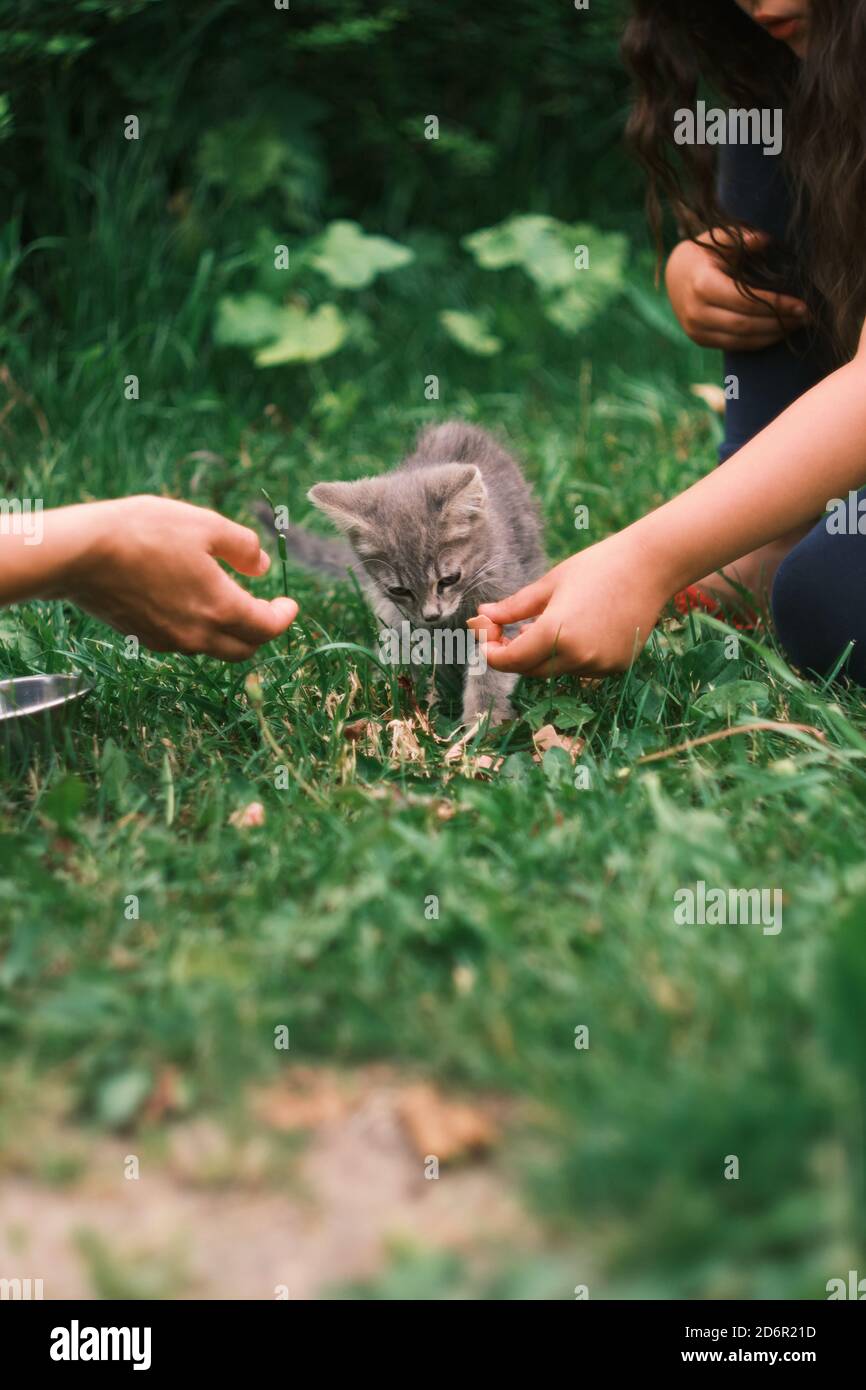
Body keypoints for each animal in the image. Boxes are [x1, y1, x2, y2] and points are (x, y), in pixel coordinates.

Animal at [271, 419, 544, 728]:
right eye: (400, 590)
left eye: (449, 579)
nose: (432, 615)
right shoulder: (406, 620)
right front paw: (419, 706)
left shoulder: (506, 594)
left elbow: (490, 669)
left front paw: (482, 721)